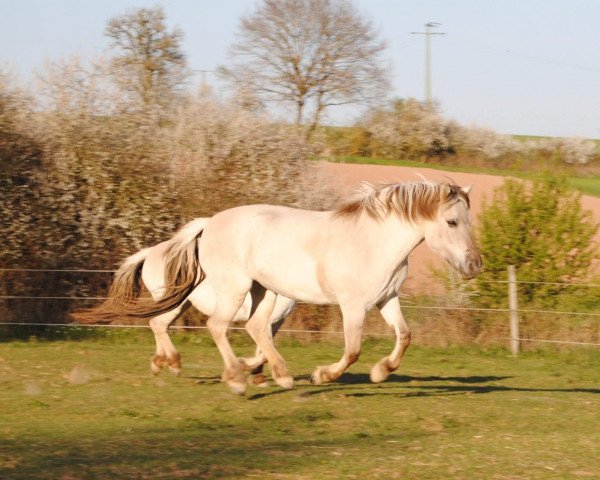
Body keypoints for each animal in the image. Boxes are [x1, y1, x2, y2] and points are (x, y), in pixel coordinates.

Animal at [73, 217, 298, 386]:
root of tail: (150, 253)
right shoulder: (268, 320)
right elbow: (263, 348)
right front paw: (245, 369)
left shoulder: (275, 322)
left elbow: (264, 347)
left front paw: (256, 375)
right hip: (176, 303)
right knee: (158, 324)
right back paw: (172, 363)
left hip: (178, 304)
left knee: (158, 325)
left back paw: (159, 362)